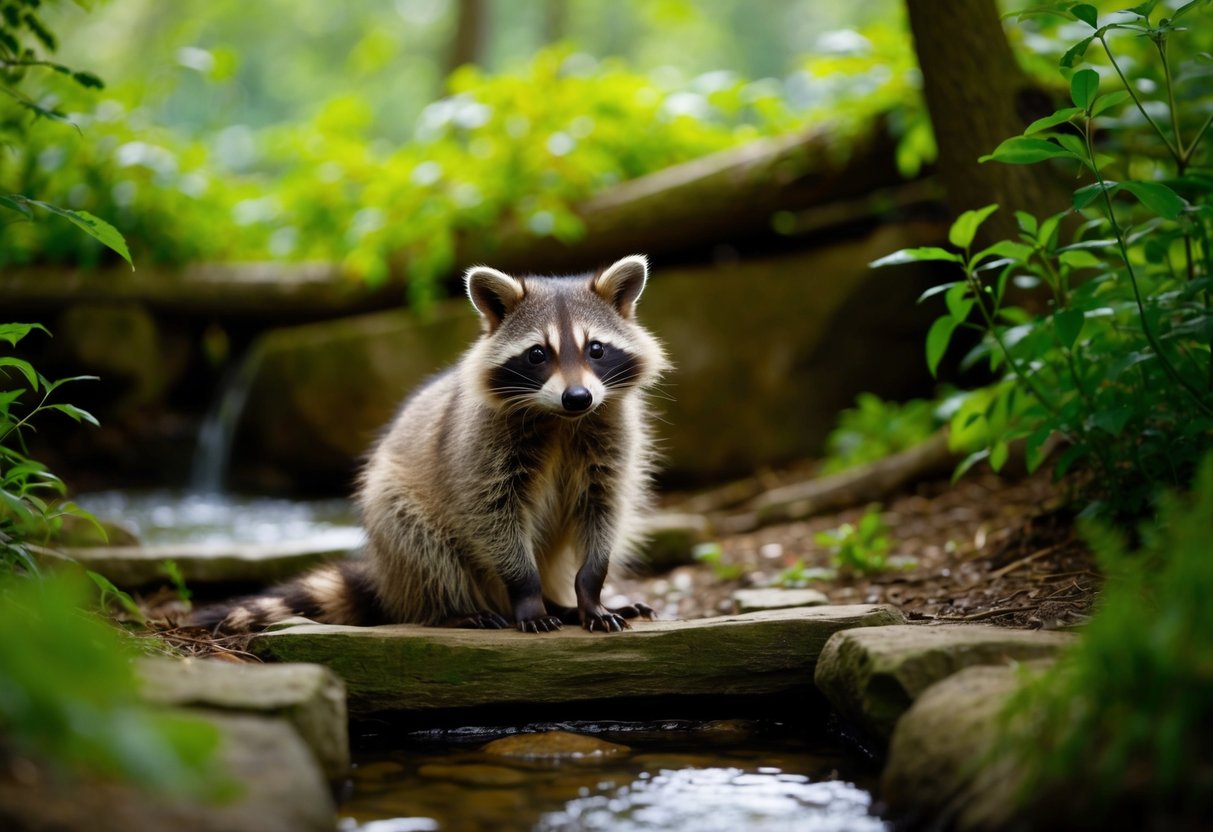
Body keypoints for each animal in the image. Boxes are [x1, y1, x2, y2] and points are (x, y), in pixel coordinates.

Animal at [195, 254, 669, 635]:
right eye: (537, 354)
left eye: (596, 349)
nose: (578, 397)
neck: (560, 421)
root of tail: (387, 580)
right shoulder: (480, 451)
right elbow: (492, 520)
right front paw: (527, 594)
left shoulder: (609, 440)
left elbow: (604, 511)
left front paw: (590, 593)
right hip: (396, 516)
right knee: (423, 545)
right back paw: (454, 610)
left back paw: (562, 603)